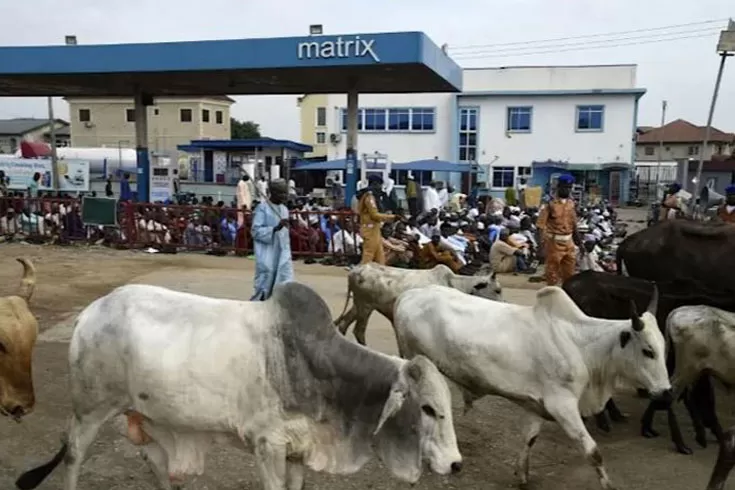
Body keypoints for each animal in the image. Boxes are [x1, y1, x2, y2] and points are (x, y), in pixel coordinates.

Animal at [17, 280, 462, 490]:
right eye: (428, 409)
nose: (456, 464)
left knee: (157, 464)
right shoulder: (266, 446)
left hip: (146, 416)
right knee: (73, 456)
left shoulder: (298, 451)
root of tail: (90, 311)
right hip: (88, 411)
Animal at [336, 262, 504, 346]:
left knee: (343, 324)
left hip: (358, 304)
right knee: (358, 331)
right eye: (497, 290)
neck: (453, 283)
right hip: (365, 306)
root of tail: (354, 270)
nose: (504, 303)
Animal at [396, 284, 672, 490]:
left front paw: (522, 475)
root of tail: (408, 295)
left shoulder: (536, 404)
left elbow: (530, 438)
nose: (666, 392)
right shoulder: (562, 406)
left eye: (664, 347)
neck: (581, 346)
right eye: (648, 351)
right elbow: (593, 452)